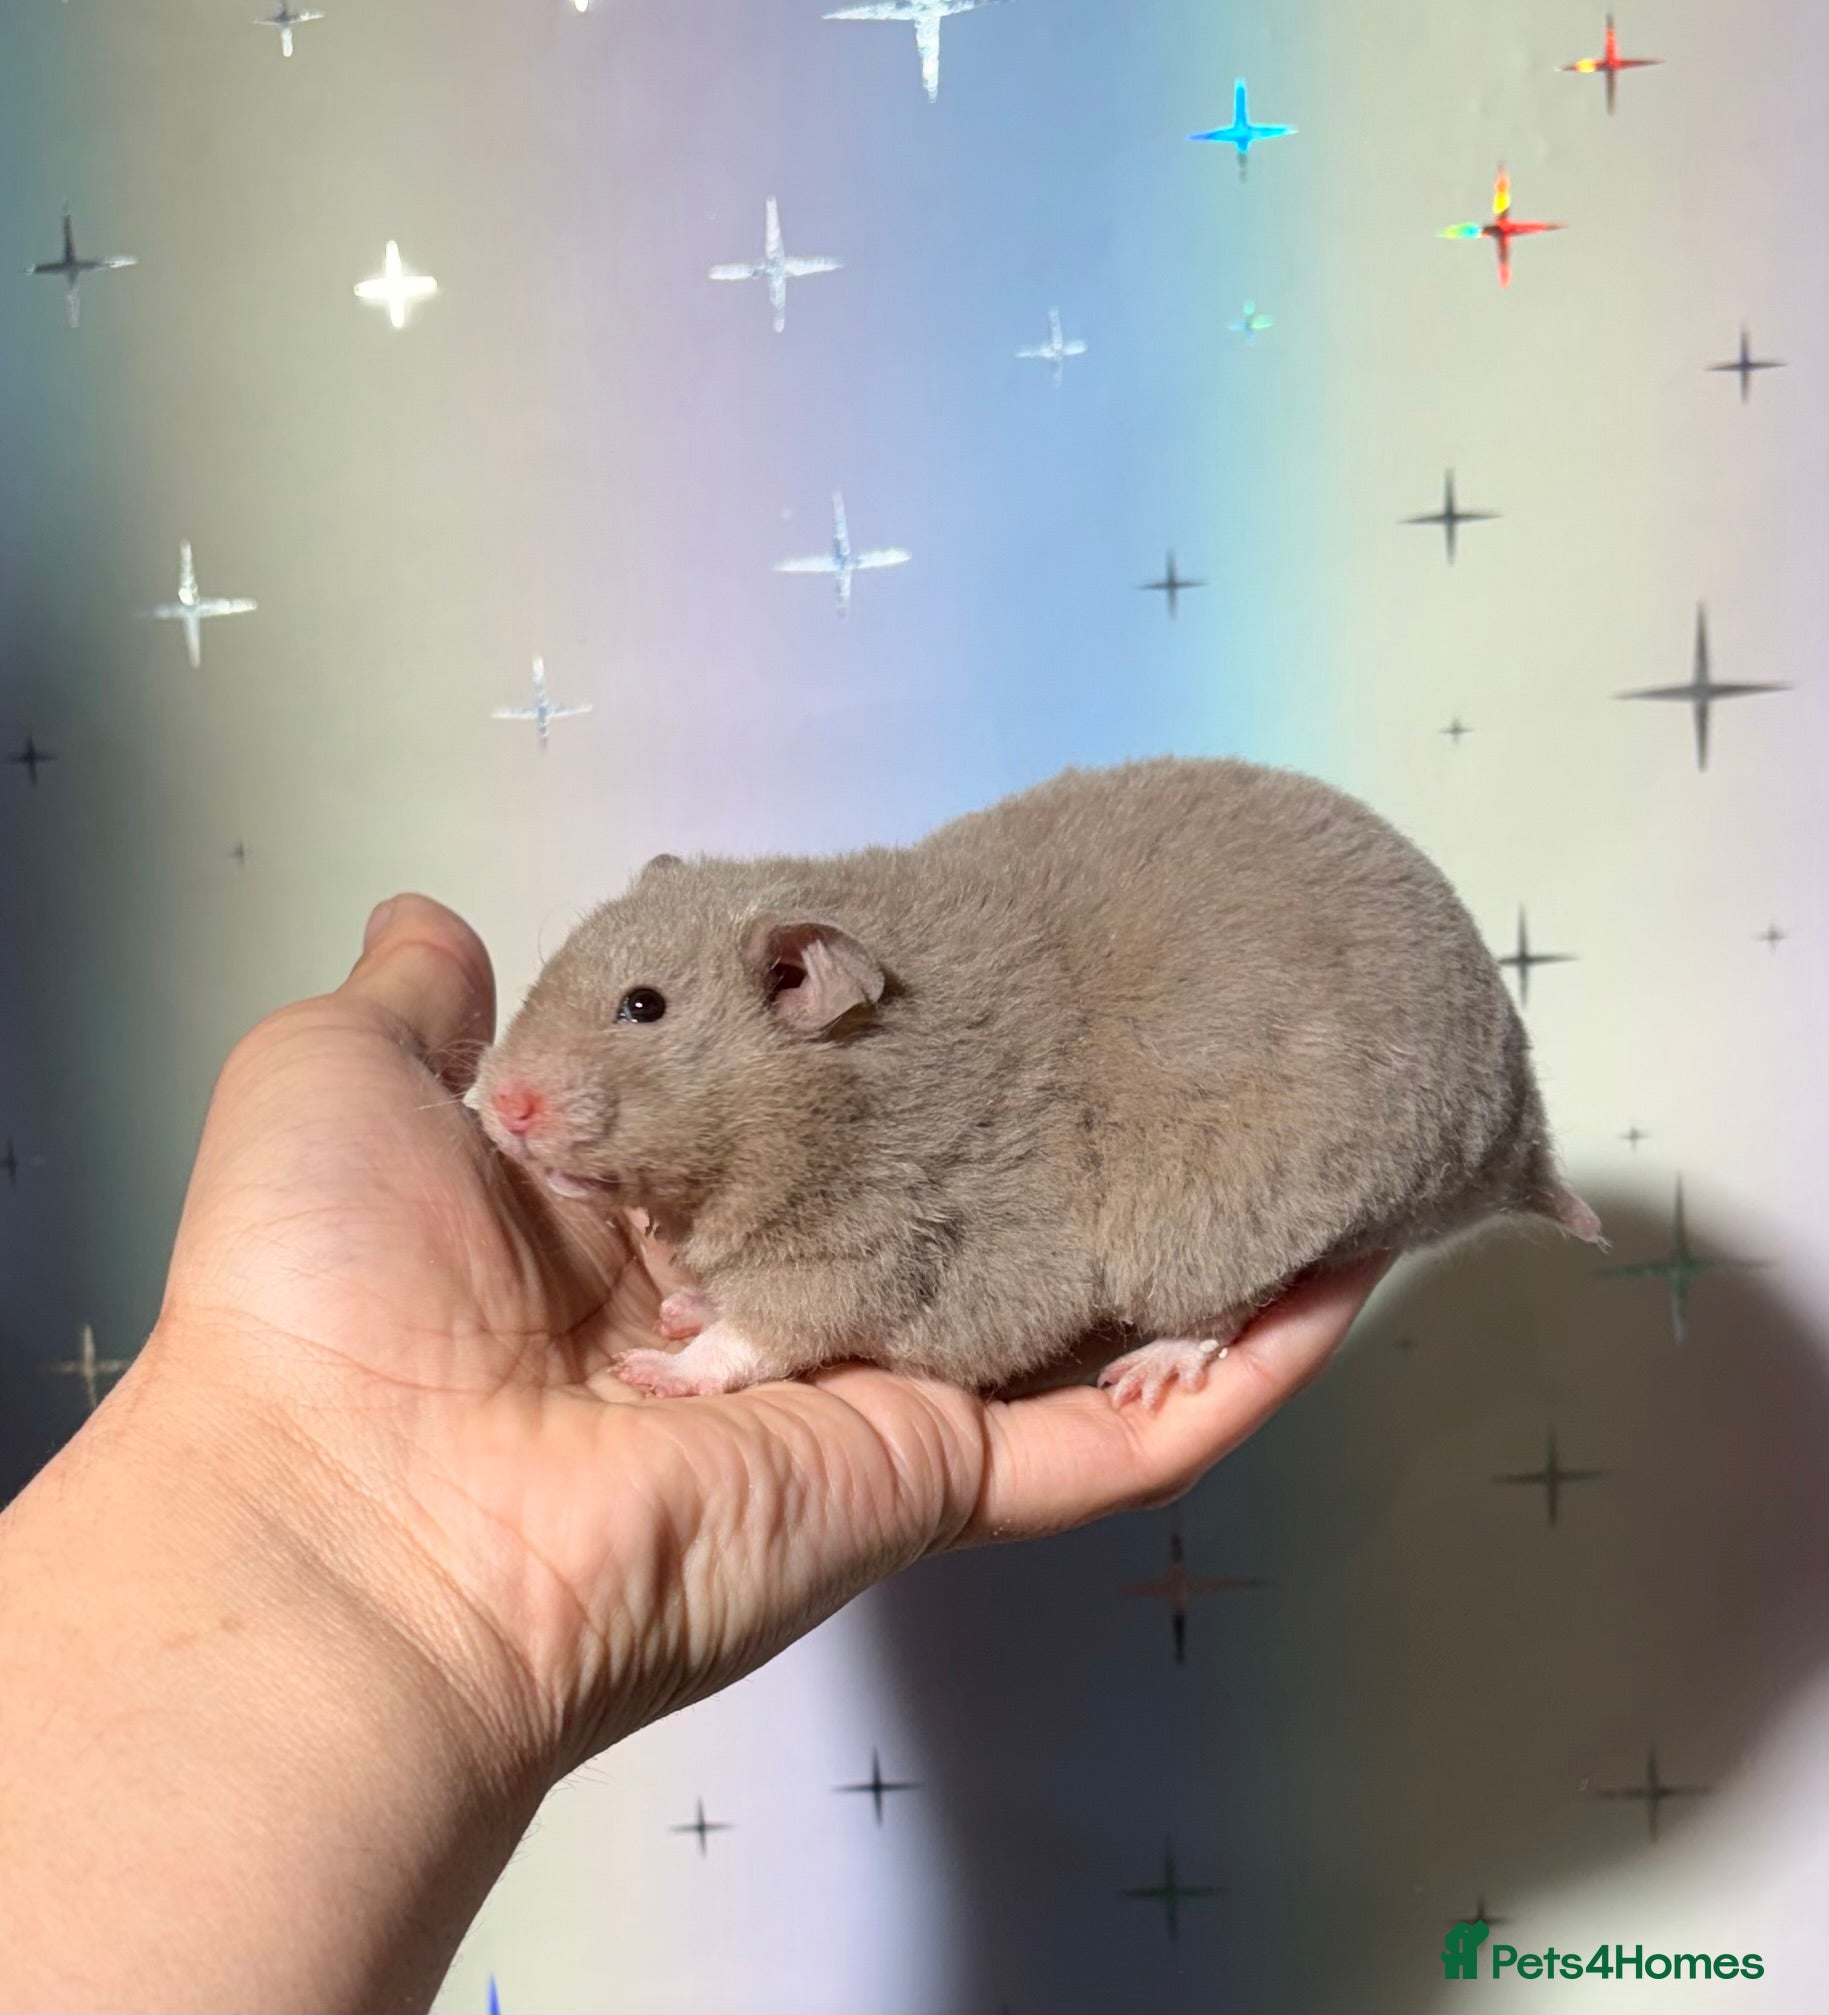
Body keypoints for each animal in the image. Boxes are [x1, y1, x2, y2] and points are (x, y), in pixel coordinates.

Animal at [476, 757, 1600, 1406]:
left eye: (642, 1006)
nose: (497, 1105)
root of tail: (1515, 1132)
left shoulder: (869, 1241)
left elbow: (763, 1334)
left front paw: (657, 1363)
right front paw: (679, 1303)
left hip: (1210, 1218)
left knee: (1221, 1307)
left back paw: (1145, 1371)